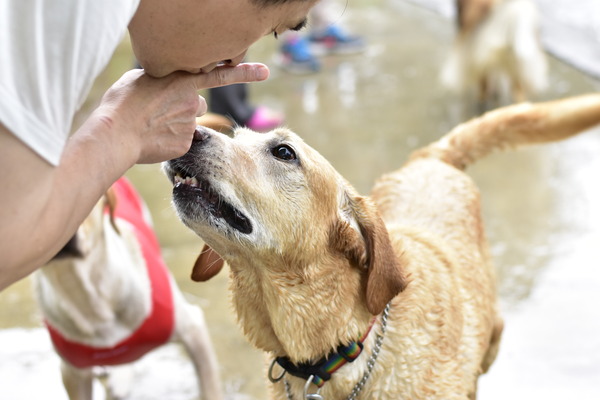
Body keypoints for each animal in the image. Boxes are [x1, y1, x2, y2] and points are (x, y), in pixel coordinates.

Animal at [162, 94, 600, 400]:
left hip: (492, 335)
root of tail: (433, 159)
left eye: (284, 152)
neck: (335, 352)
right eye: (236, 137)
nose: (191, 131)